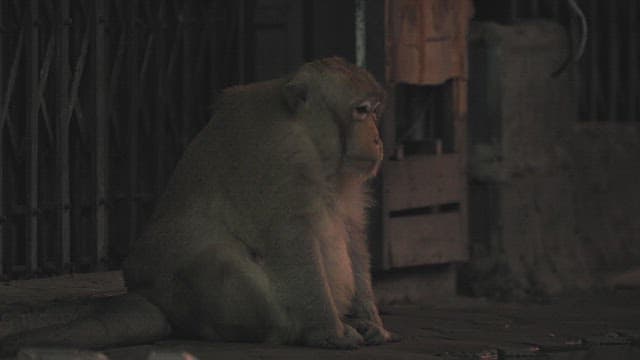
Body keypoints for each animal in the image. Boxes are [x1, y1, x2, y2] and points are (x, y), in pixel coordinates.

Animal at [0, 57, 398, 352]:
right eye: (362, 110)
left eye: (375, 110)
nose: (379, 140)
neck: (313, 140)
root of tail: (151, 296)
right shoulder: (279, 155)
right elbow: (292, 238)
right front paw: (329, 331)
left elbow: (349, 229)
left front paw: (369, 321)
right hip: (190, 300)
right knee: (217, 255)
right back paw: (291, 329)